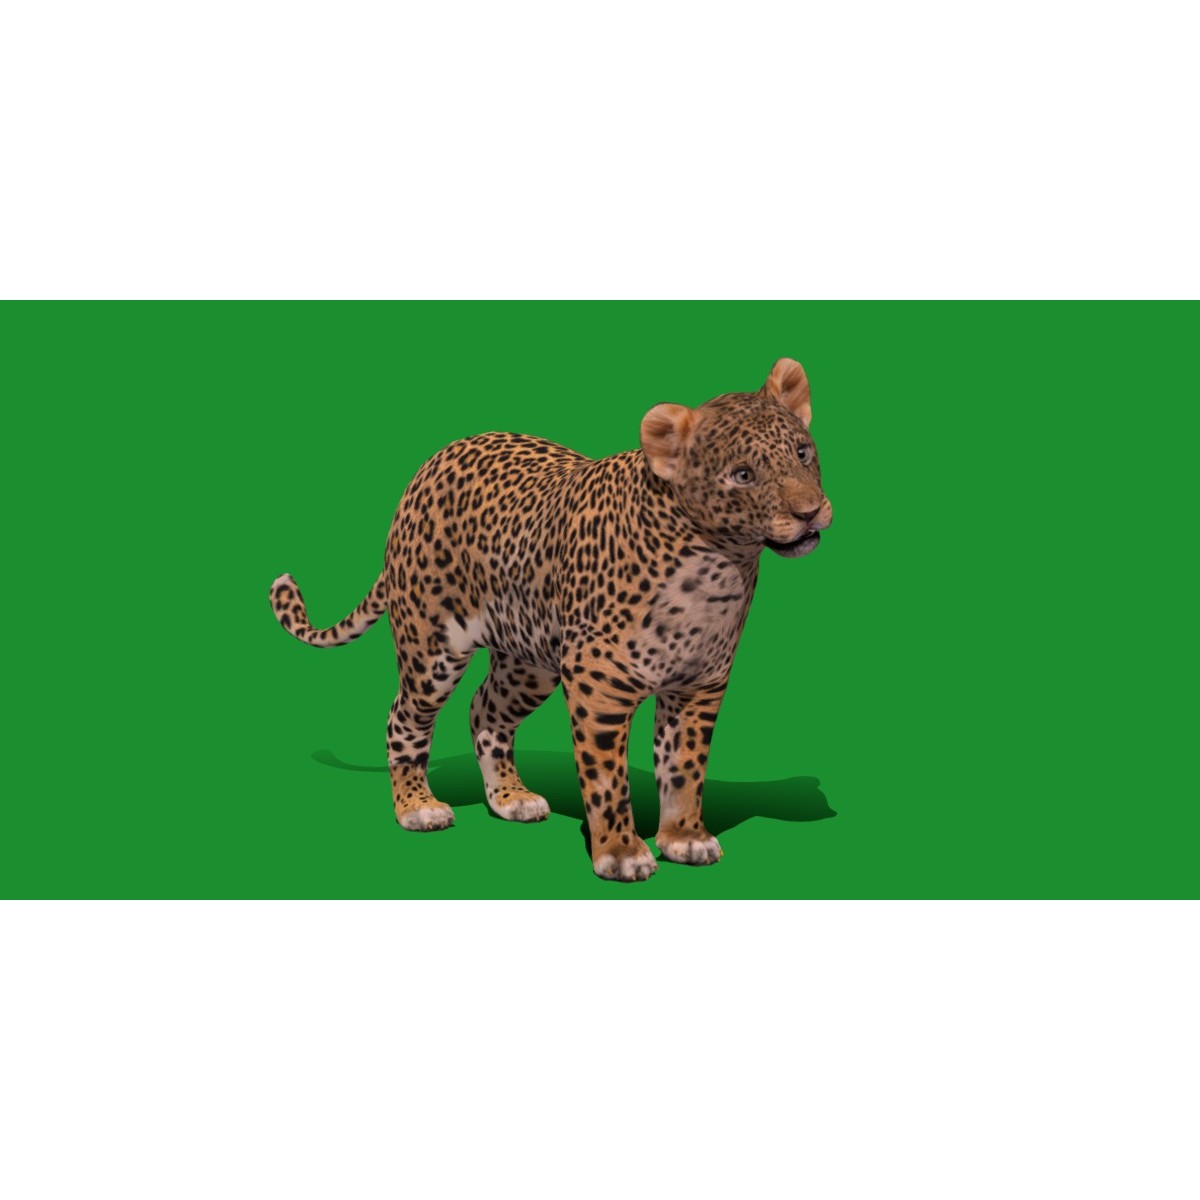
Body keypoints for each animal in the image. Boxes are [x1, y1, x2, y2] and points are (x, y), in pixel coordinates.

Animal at [269, 357, 833, 882]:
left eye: (803, 452)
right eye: (743, 475)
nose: (810, 512)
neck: (719, 565)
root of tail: (429, 466)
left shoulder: (697, 686)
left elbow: (684, 768)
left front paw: (684, 839)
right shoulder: (598, 684)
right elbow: (607, 779)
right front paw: (622, 854)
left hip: (529, 662)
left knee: (484, 711)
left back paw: (510, 797)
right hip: (432, 650)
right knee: (402, 718)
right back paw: (418, 808)